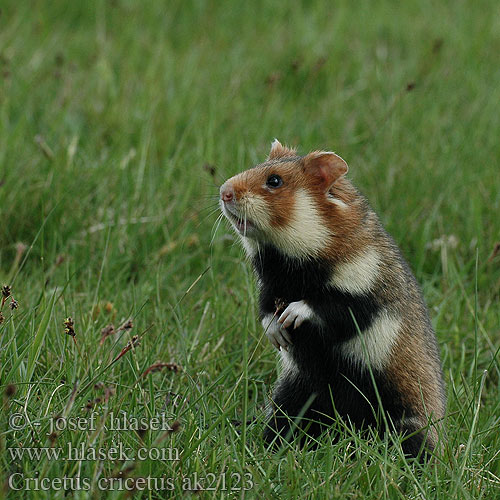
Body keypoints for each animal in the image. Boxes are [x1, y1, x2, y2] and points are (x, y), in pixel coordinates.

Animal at [219, 139, 446, 458]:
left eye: (274, 181)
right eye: (257, 166)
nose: (223, 191)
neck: (291, 264)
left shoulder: (365, 291)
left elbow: (329, 306)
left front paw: (292, 314)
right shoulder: (269, 287)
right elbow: (265, 311)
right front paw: (278, 334)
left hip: (404, 418)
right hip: (295, 395)